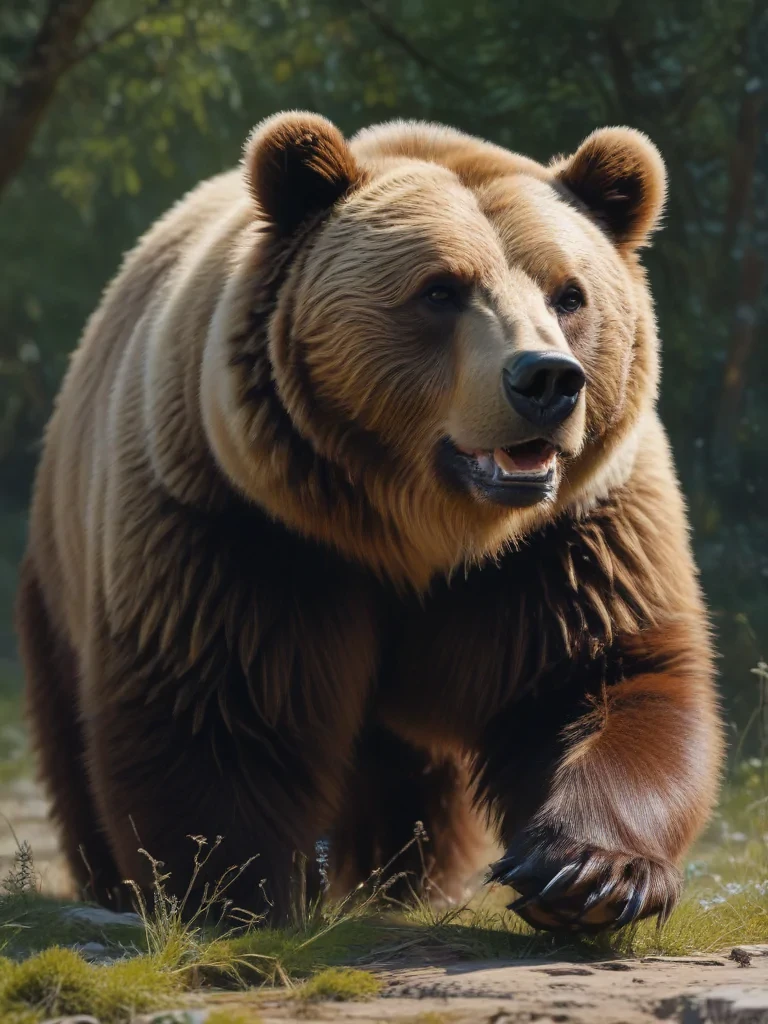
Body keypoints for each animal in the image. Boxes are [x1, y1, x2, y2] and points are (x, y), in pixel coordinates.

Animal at [16, 111, 723, 932]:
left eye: (570, 294)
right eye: (441, 289)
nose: (546, 379)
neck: (416, 530)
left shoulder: (571, 538)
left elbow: (605, 678)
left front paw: (587, 873)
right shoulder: (241, 526)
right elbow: (217, 704)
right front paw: (236, 889)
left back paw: (411, 879)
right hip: (63, 567)